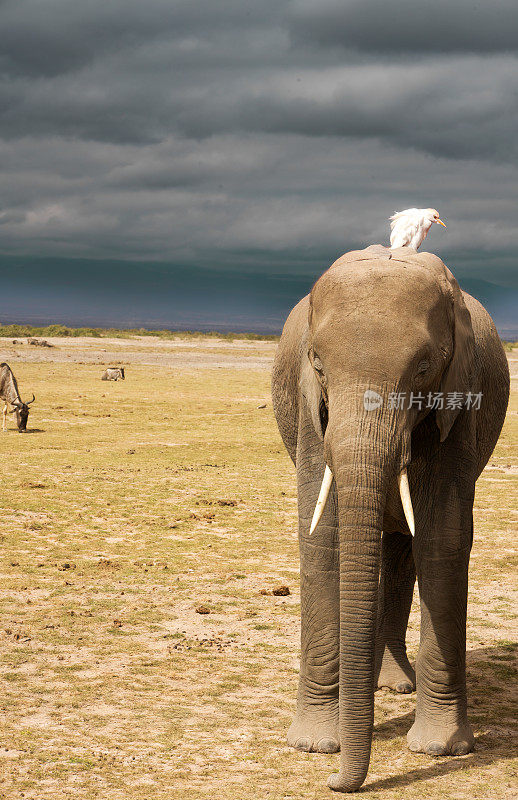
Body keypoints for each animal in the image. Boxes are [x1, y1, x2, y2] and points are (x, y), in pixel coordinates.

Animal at [272, 245, 512, 792]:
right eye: (318, 363)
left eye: (423, 369)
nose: (336, 783)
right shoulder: (312, 413)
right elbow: (322, 536)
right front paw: (314, 745)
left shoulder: (457, 403)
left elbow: (443, 539)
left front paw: (440, 749)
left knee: (403, 552)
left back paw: (394, 685)